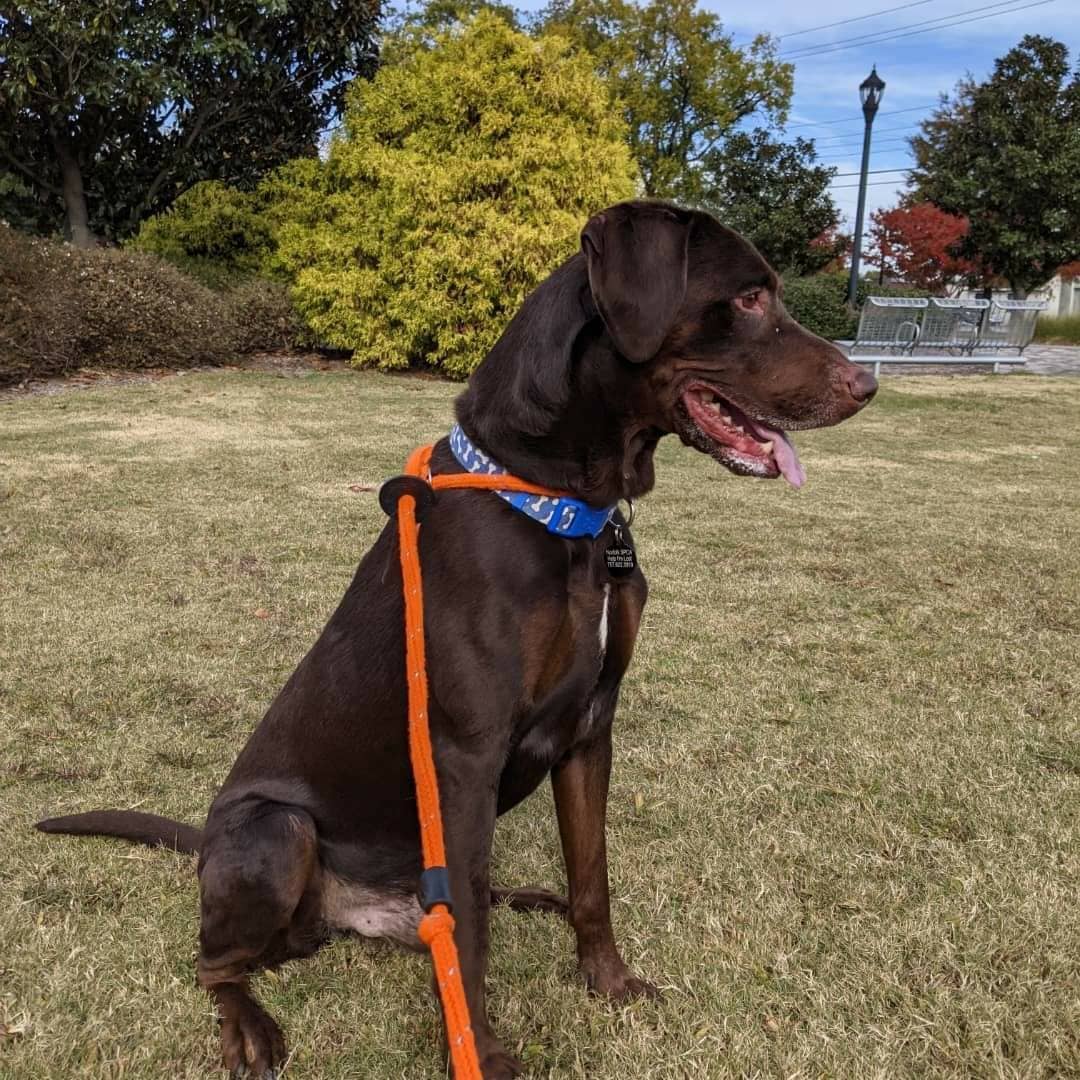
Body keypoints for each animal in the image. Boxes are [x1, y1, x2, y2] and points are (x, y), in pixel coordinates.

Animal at [39, 198, 876, 1075]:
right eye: (748, 297)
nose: (869, 385)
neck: (562, 504)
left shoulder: (591, 728)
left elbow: (592, 879)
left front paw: (608, 983)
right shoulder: (465, 752)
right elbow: (469, 931)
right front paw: (483, 1050)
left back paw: (525, 897)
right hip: (276, 829)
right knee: (220, 962)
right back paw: (249, 1026)